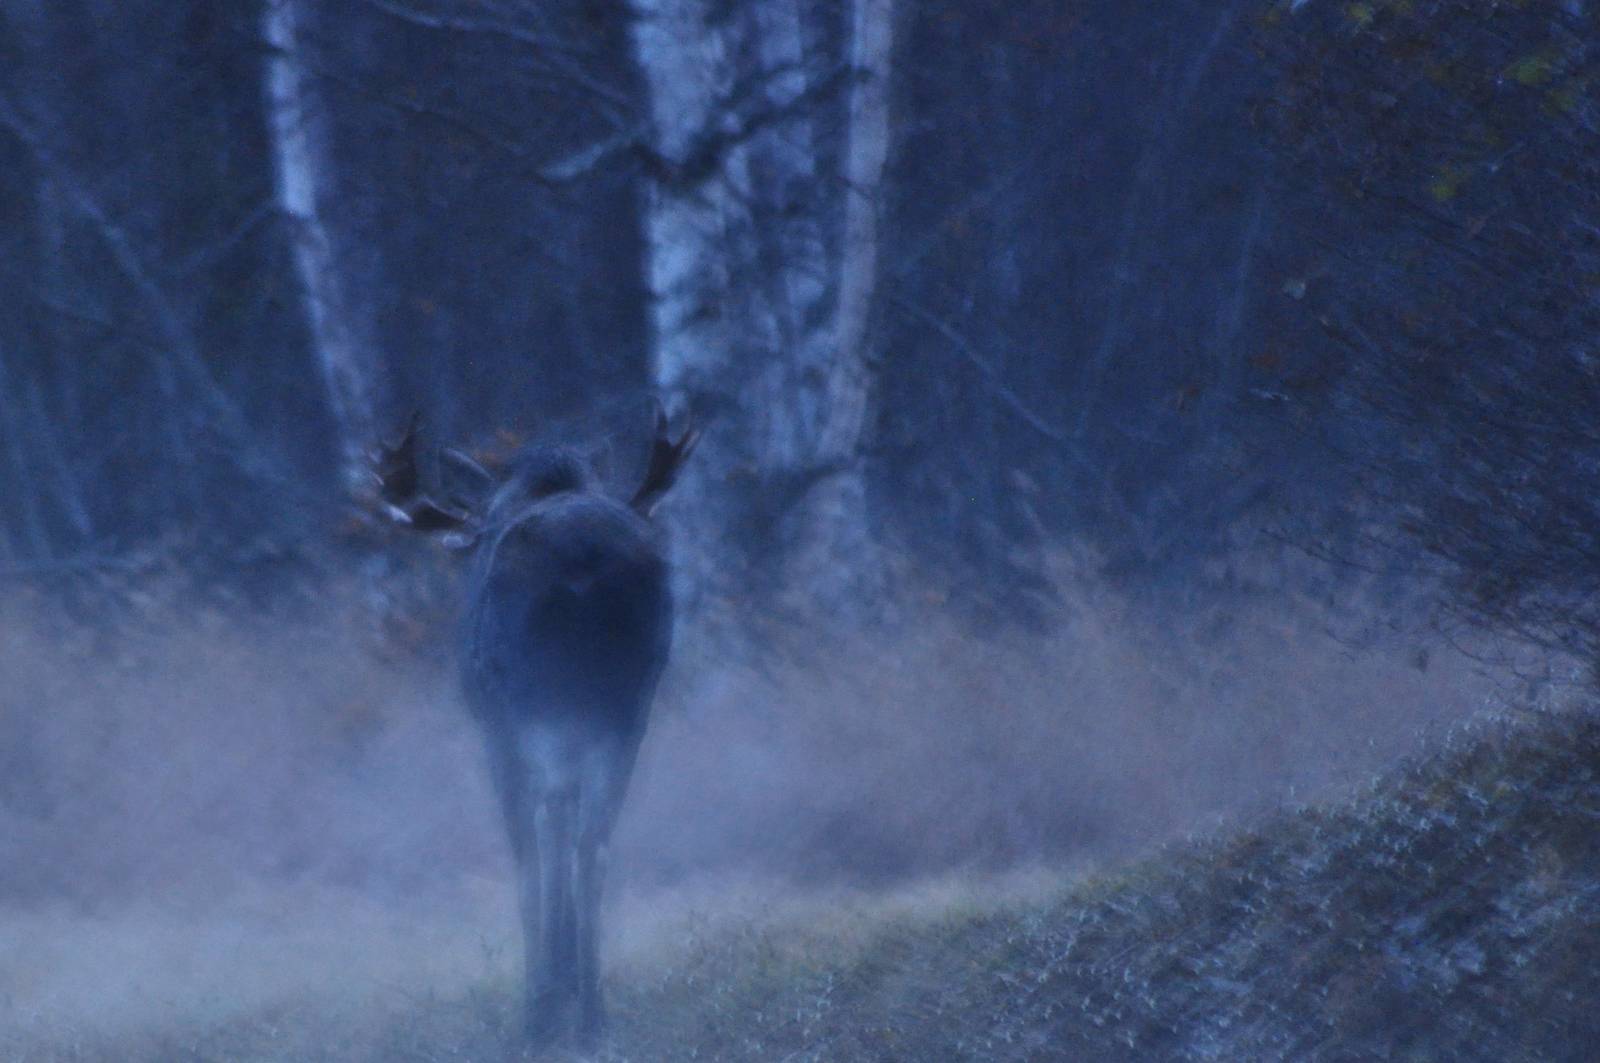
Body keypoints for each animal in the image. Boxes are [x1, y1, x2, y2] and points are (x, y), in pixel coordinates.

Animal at [371, 408, 699, 1047]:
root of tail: (583, 560)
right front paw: (570, 977)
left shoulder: (499, 726)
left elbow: (534, 846)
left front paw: (551, 986)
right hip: (626, 706)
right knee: (594, 839)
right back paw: (591, 1011)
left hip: (527, 706)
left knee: (537, 839)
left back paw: (543, 1012)